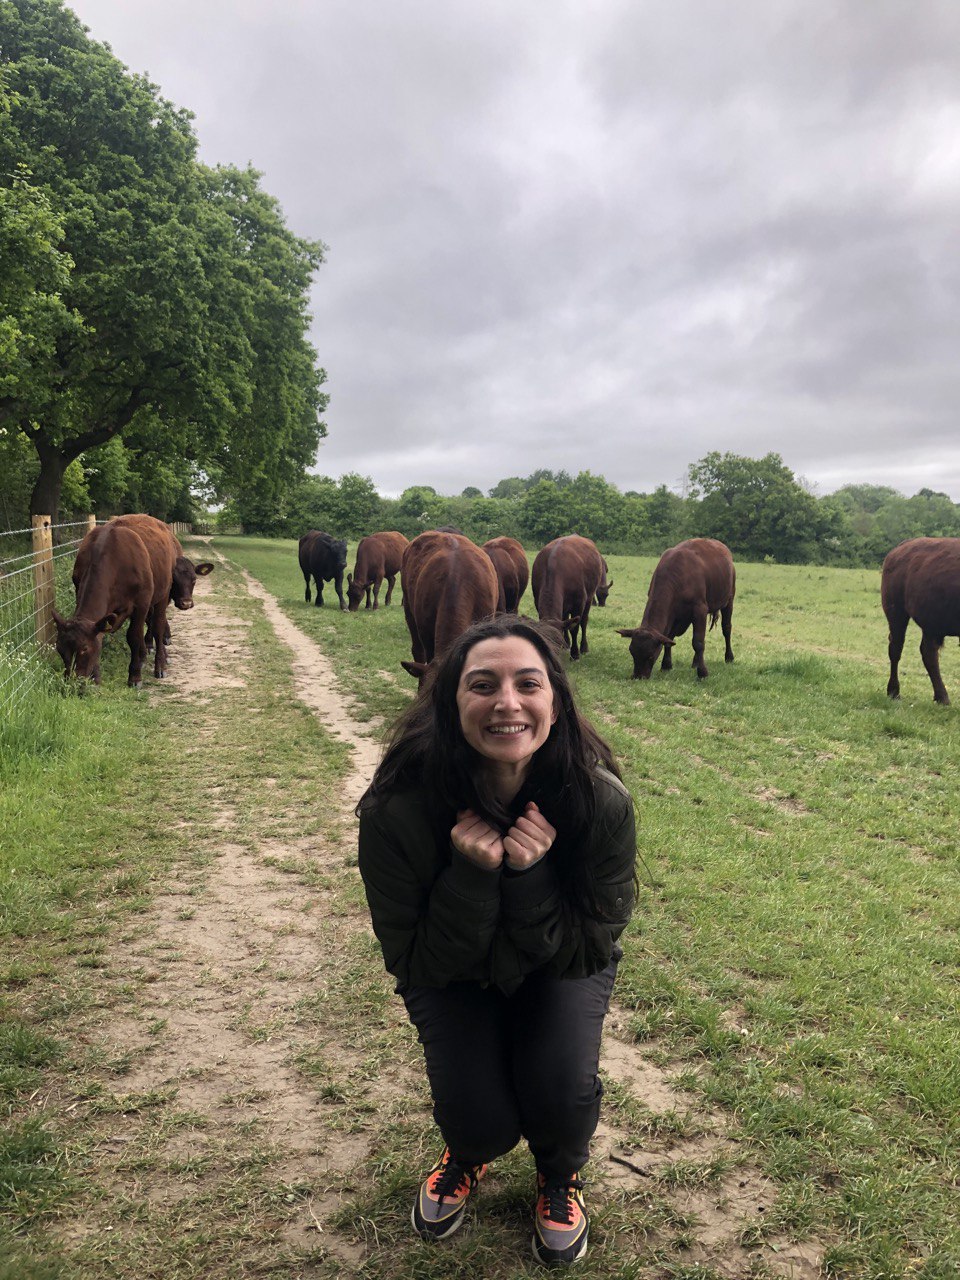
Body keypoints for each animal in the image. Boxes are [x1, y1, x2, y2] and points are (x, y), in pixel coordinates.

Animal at [53, 519, 154, 686]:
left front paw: (135, 676)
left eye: (84, 649)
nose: (72, 684)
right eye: (59, 649)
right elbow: (99, 635)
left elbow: (134, 635)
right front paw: (96, 678)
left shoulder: (142, 601)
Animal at [529, 535, 604, 665]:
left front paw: (575, 654)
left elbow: (574, 628)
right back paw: (567, 643)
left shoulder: (579, 603)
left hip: (589, 598)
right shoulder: (537, 600)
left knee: (584, 621)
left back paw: (584, 648)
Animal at [616, 537, 737, 680]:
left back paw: (728, 657)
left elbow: (698, 642)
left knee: (726, 628)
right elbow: (669, 638)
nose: (638, 676)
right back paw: (696, 662)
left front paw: (702, 672)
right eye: (632, 652)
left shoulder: (699, 609)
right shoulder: (674, 614)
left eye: (650, 655)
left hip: (729, 599)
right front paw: (666, 665)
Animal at [885, 535, 960, 706]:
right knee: (896, 649)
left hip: (931, 623)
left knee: (928, 653)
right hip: (896, 613)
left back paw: (941, 697)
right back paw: (894, 691)